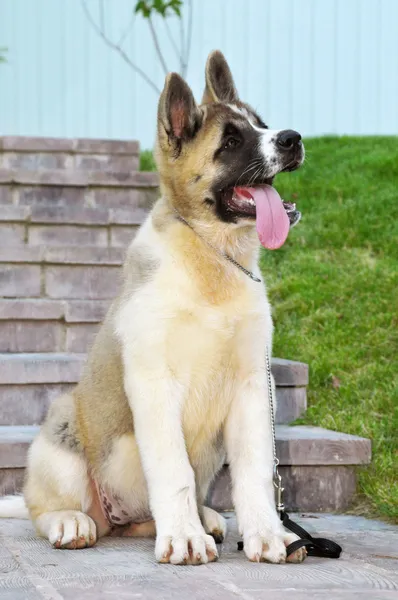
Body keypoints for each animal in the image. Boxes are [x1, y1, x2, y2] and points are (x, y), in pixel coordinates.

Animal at [0, 50, 304, 564]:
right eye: (231, 142)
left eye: (262, 125)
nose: (293, 138)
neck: (211, 257)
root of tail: (114, 517)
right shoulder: (155, 382)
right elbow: (173, 471)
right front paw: (183, 539)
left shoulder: (253, 386)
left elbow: (256, 472)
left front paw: (267, 533)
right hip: (62, 428)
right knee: (45, 507)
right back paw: (72, 521)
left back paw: (203, 518)